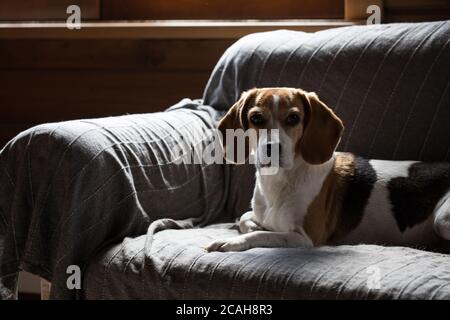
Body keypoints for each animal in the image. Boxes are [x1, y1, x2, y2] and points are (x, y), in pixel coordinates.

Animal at [207, 87, 450, 252]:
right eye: (256, 118)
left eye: (293, 118)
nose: (272, 148)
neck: (279, 181)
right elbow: (245, 219)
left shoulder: (306, 239)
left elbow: (260, 236)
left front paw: (233, 241)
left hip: (442, 220)